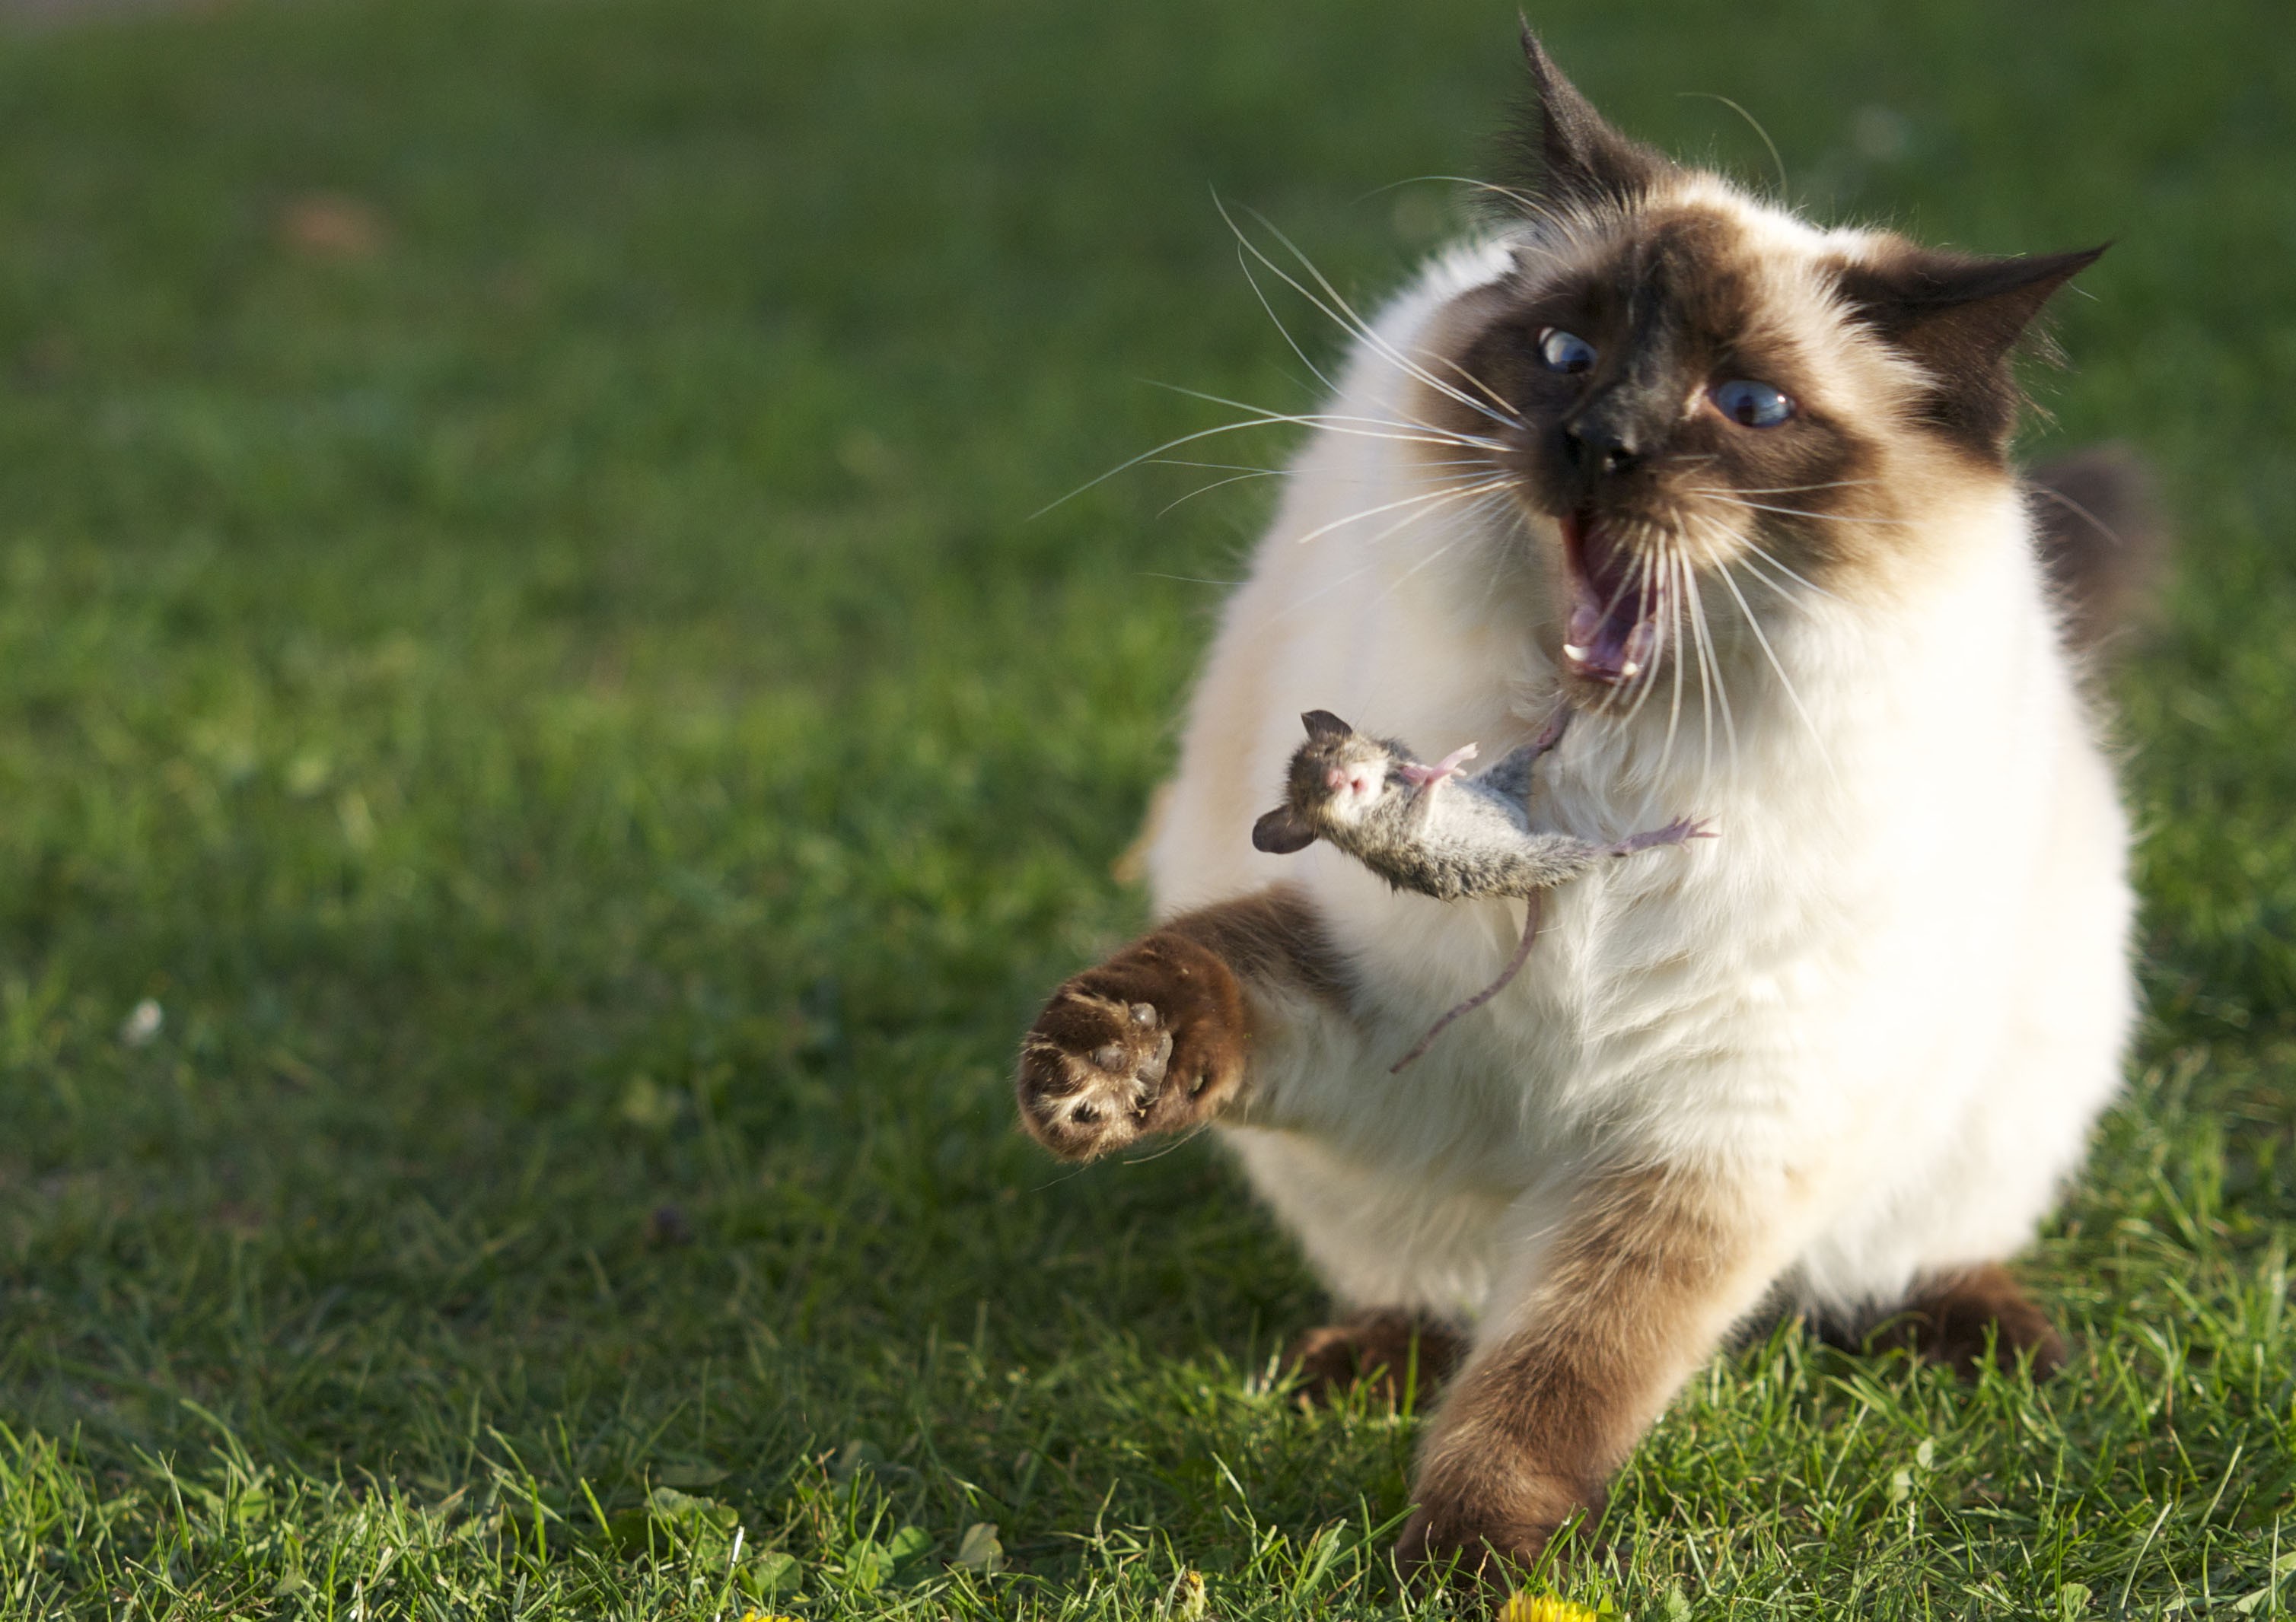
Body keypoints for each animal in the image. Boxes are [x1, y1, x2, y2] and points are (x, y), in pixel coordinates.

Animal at [1010, 28, 2148, 1587]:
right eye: (1568, 355)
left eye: (1748, 406)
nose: (1598, 441)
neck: (1607, 776)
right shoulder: (1388, 1008)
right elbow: (1216, 981)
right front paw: (1101, 1070)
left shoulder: (1711, 1129)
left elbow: (1560, 1375)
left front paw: (1463, 1563)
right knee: (1414, 1284)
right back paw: (1351, 1368)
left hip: (2002, 1097)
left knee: (1918, 1250)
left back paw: (1989, 1345)